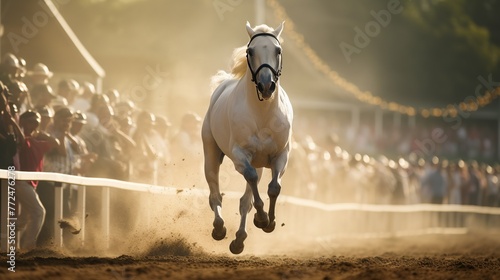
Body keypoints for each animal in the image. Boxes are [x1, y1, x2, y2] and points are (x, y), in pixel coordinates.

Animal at [200, 21, 292, 254]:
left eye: (278, 50)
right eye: (251, 51)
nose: (266, 85)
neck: (262, 114)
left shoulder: (280, 155)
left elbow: (273, 188)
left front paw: (269, 222)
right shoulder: (240, 156)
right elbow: (250, 179)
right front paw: (262, 217)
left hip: (259, 163)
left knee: (244, 201)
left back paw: (239, 240)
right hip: (211, 153)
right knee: (215, 194)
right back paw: (219, 228)